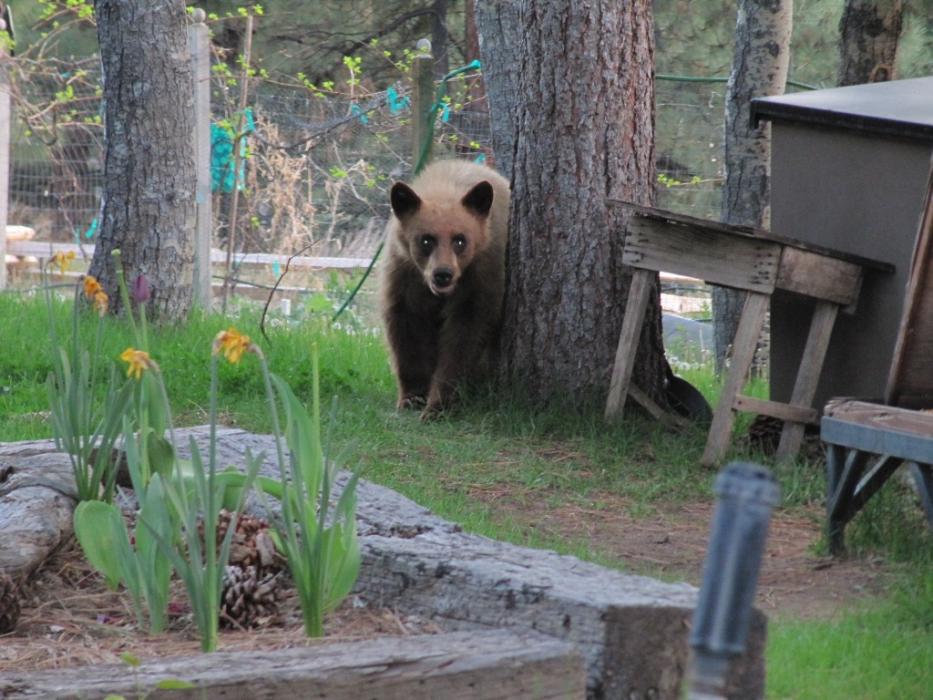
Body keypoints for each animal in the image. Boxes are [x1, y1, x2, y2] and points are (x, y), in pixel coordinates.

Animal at [379, 159, 510, 418]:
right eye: (426, 239)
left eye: (460, 240)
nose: (443, 274)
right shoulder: (405, 274)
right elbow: (405, 329)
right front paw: (412, 396)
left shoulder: (481, 276)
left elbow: (466, 336)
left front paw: (439, 405)